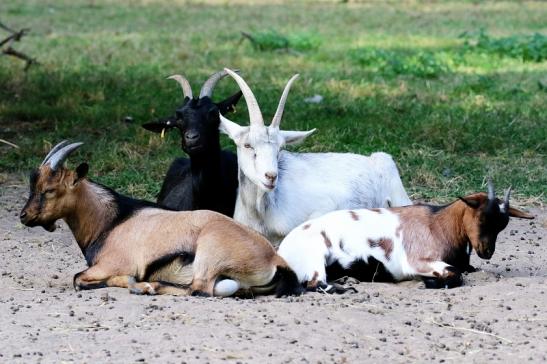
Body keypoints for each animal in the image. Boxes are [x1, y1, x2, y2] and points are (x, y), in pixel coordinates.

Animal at [19, 141, 304, 298]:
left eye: (49, 190)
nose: (24, 216)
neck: (112, 220)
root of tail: (274, 259)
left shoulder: (111, 264)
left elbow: (78, 278)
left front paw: (135, 283)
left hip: (210, 253)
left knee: (199, 289)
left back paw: (149, 287)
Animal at [278, 179, 536, 290]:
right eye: (482, 217)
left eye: (503, 224)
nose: (487, 252)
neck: (438, 223)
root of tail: (283, 249)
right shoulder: (417, 261)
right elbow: (455, 275)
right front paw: (429, 282)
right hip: (315, 257)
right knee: (314, 284)